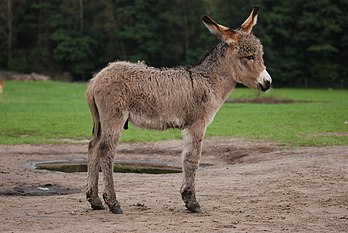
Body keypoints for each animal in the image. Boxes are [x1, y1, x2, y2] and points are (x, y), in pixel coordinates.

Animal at [85, 6, 270, 215]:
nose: (268, 83)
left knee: (93, 147)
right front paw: (192, 202)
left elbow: (186, 158)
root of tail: (96, 79)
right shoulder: (197, 124)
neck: (208, 81)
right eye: (249, 57)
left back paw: (95, 200)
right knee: (106, 150)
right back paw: (113, 203)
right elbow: (192, 159)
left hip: (100, 120)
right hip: (113, 117)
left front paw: (187, 198)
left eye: (260, 55)